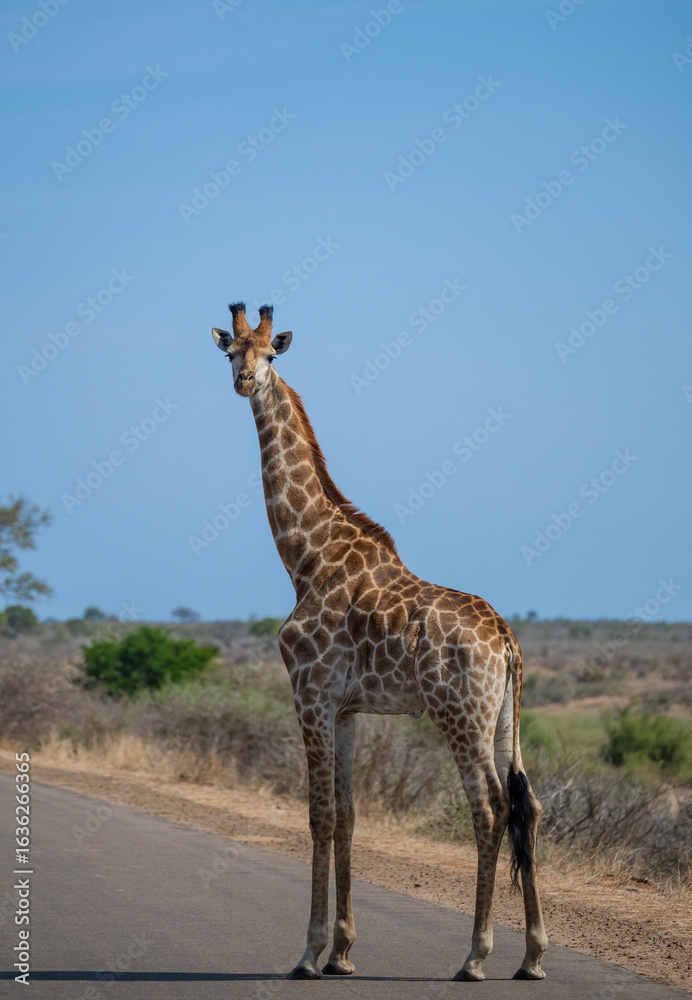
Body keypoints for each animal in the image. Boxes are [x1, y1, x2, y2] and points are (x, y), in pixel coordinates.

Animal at [212, 302, 548, 982]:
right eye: (230, 350)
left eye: (271, 353)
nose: (245, 381)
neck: (305, 558)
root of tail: (507, 640)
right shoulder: (345, 709)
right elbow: (347, 815)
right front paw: (342, 952)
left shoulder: (309, 693)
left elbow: (317, 815)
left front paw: (309, 953)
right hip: (504, 716)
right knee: (528, 807)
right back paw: (531, 956)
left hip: (458, 712)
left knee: (490, 808)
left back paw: (475, 956)